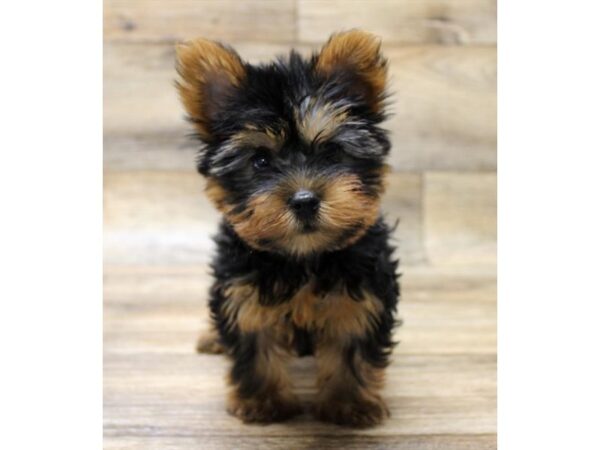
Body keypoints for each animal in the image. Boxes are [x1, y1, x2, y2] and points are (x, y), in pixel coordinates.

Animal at [176, 29, 400, 428]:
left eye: (331, 152)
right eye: (260, 161)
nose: (304, 200)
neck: (302, 257)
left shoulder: (363, 292)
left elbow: (352, 345)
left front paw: (349, 404)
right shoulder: (243, 290)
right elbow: (254, 342)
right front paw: (263, 402)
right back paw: (211, 338)